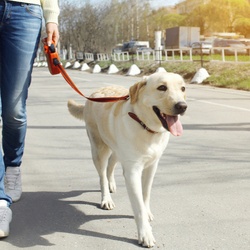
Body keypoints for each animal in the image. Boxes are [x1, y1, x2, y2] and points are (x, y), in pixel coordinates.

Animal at [67, 72, 187, 248]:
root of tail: (94, 93)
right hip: (99, 149)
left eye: (183, 88)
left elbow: (145, 194)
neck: (146, 127)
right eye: (162, 87)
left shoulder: (152, 166)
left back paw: (111, 184)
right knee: (102, 175)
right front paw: (145, 234)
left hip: (117, 150)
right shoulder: (132, 172)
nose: (182, 106)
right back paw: (106, 198)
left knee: (110, 166)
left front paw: (147, 211)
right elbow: (138, 206)